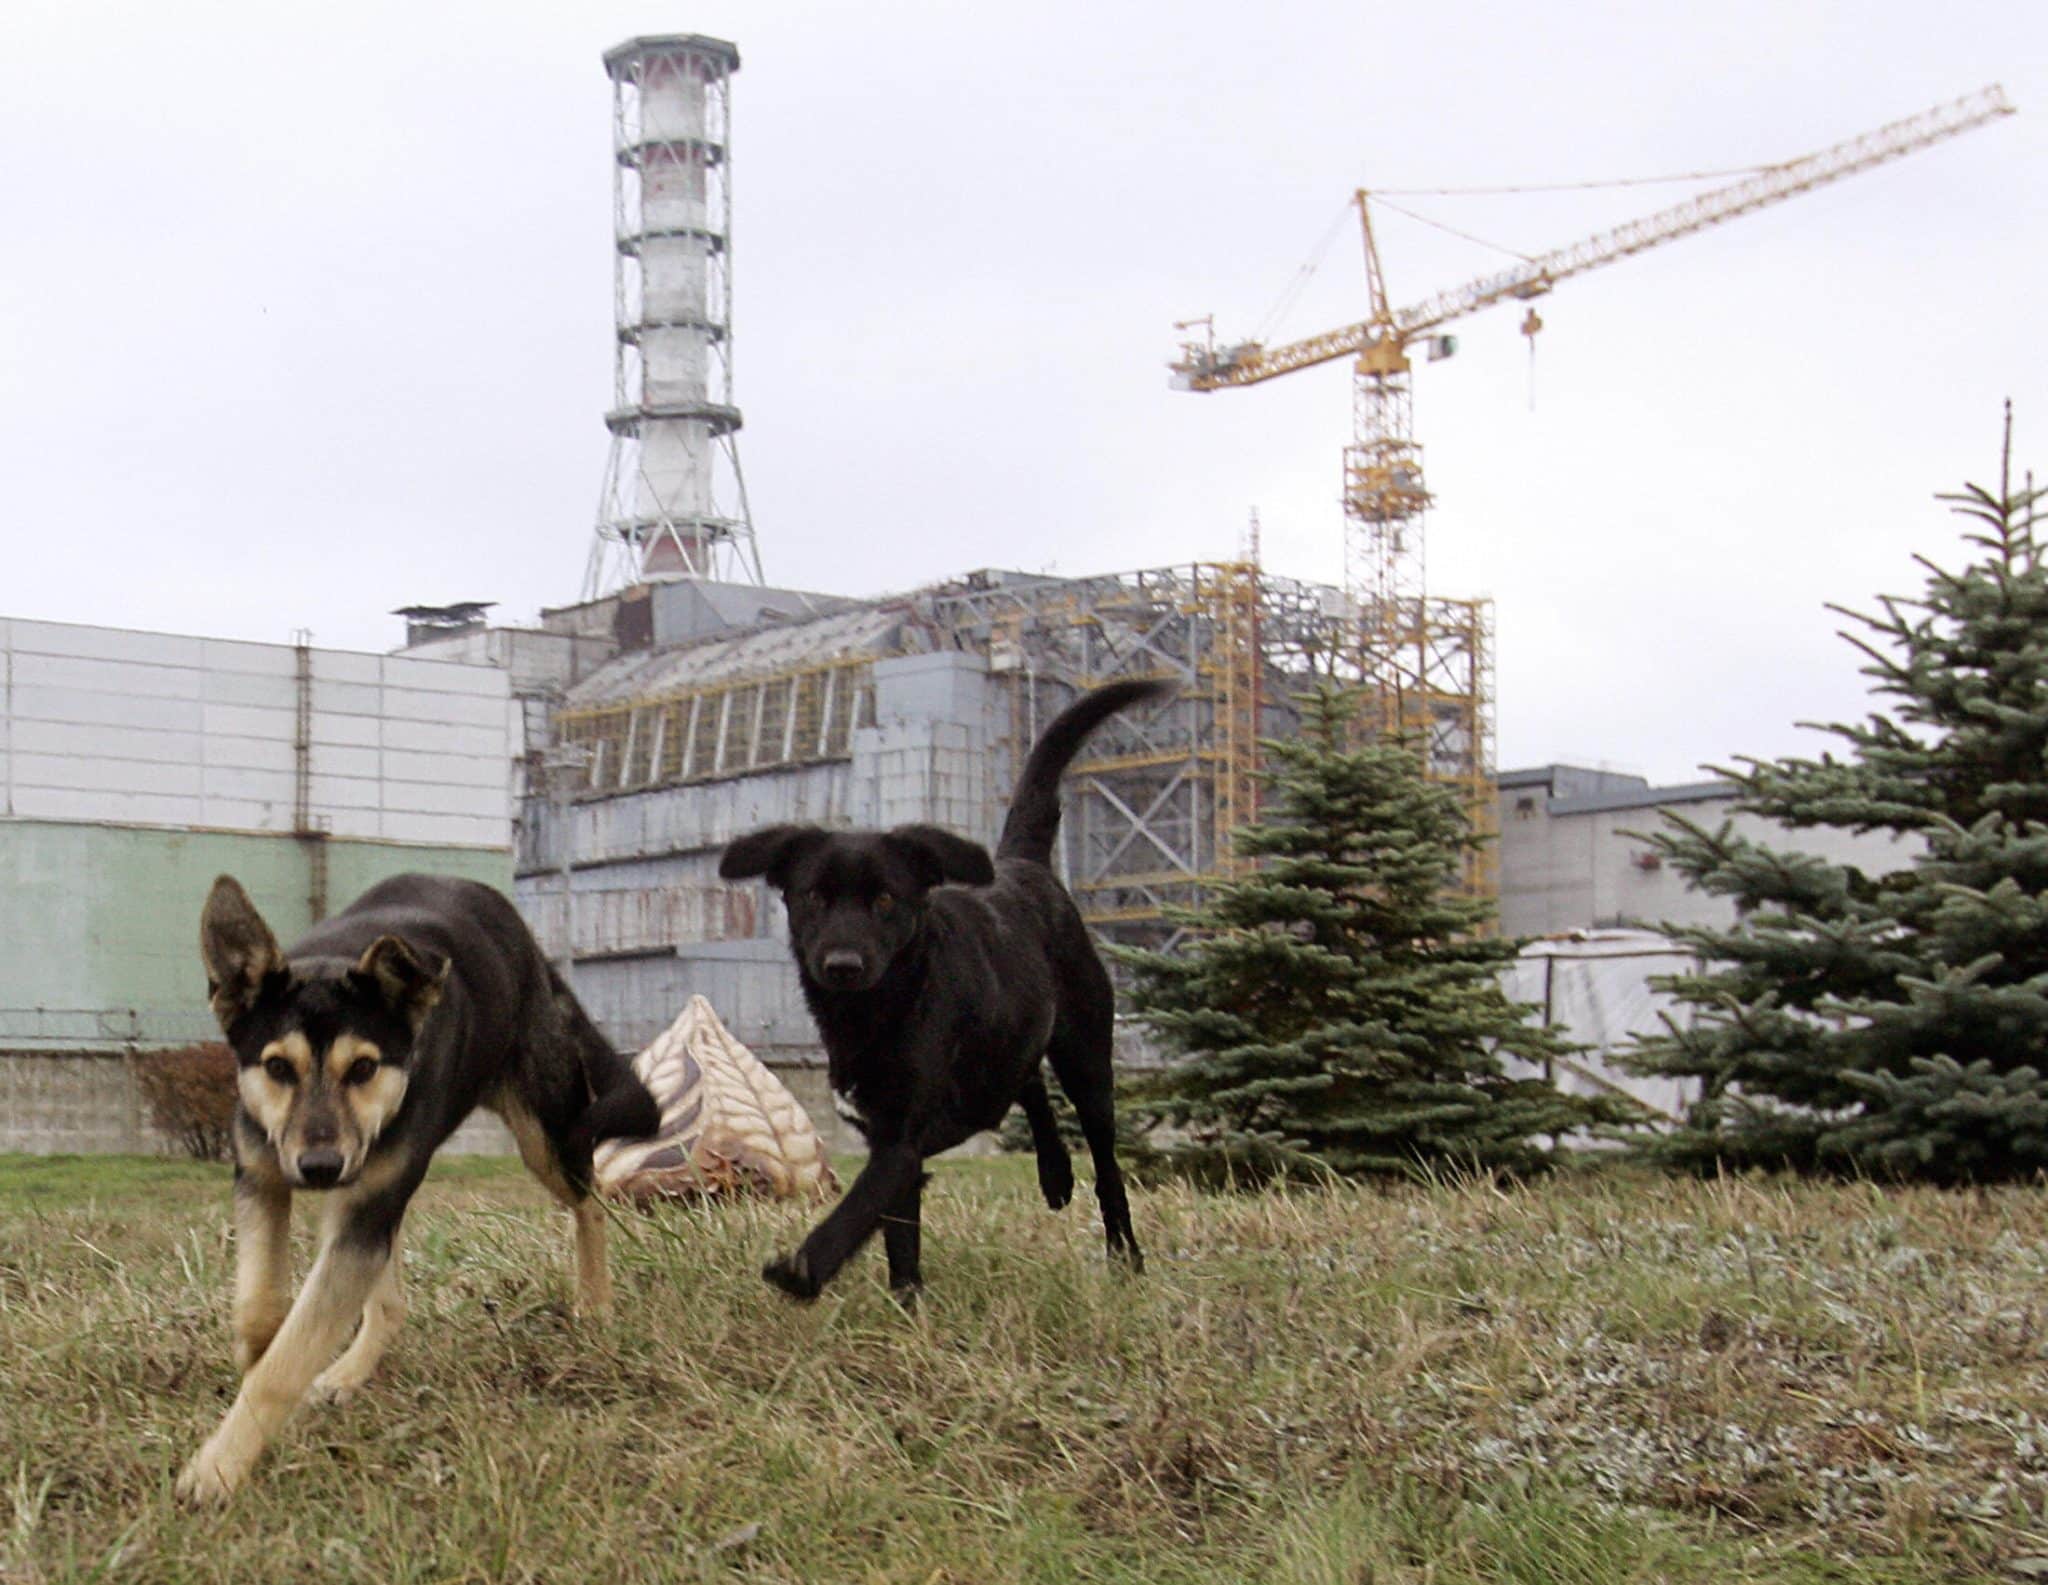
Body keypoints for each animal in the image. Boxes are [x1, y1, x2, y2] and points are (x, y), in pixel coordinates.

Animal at [179, 876, 655, 1507]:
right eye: (278, 1067)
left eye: (363, 1068)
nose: (320, 1167)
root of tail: (533, 952)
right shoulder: (263, 1176)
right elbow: (262, 1310)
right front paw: (257, 1366)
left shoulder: (363, 1206)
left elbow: (287, 1360)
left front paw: (219, 1466)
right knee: (390, 1301)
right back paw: (351, 1370)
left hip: (544, 1135)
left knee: (590, 1198)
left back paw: (595, 1302)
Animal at [720, 675, 1171, 1294]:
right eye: (814, 895)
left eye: (886, 899)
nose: (842, 964)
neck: (881, 1010)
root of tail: (1024, 866)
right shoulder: (884, 1134)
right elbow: (898, 1235)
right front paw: (906, 1299)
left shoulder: (901, 1139)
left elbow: (859, 1206)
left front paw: (805, 1268)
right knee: (1026, 1082)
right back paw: (1055, 1174)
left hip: (1087, 1057)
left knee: (1104, 1161)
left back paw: (1124, 1253)